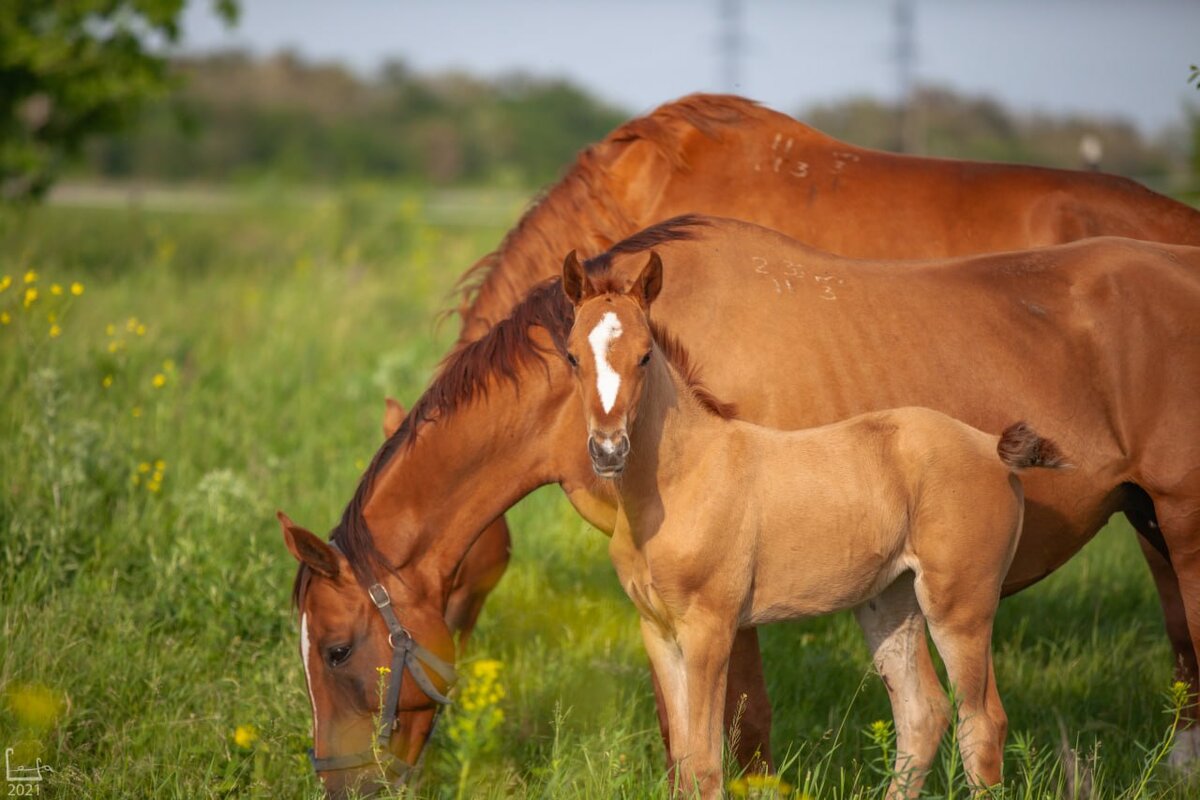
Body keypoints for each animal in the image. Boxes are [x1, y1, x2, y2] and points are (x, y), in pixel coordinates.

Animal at [283, 214, 1200, 796]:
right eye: (573, 359)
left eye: (335, 648)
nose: (338, 785)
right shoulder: (665, 620)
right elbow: (686, 746)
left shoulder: (720, 613)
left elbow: (728, 737)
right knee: (931, 714)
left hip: (1128, 548)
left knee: (984, 719)